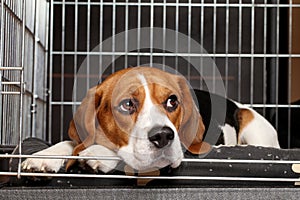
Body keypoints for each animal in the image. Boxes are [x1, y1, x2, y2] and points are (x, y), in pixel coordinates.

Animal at [22, 66, 280, 173]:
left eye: (172, 101)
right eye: (127, 104)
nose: (163, 136)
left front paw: (99, 154)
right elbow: (69, 143)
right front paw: (44, 156)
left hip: (251, 121)